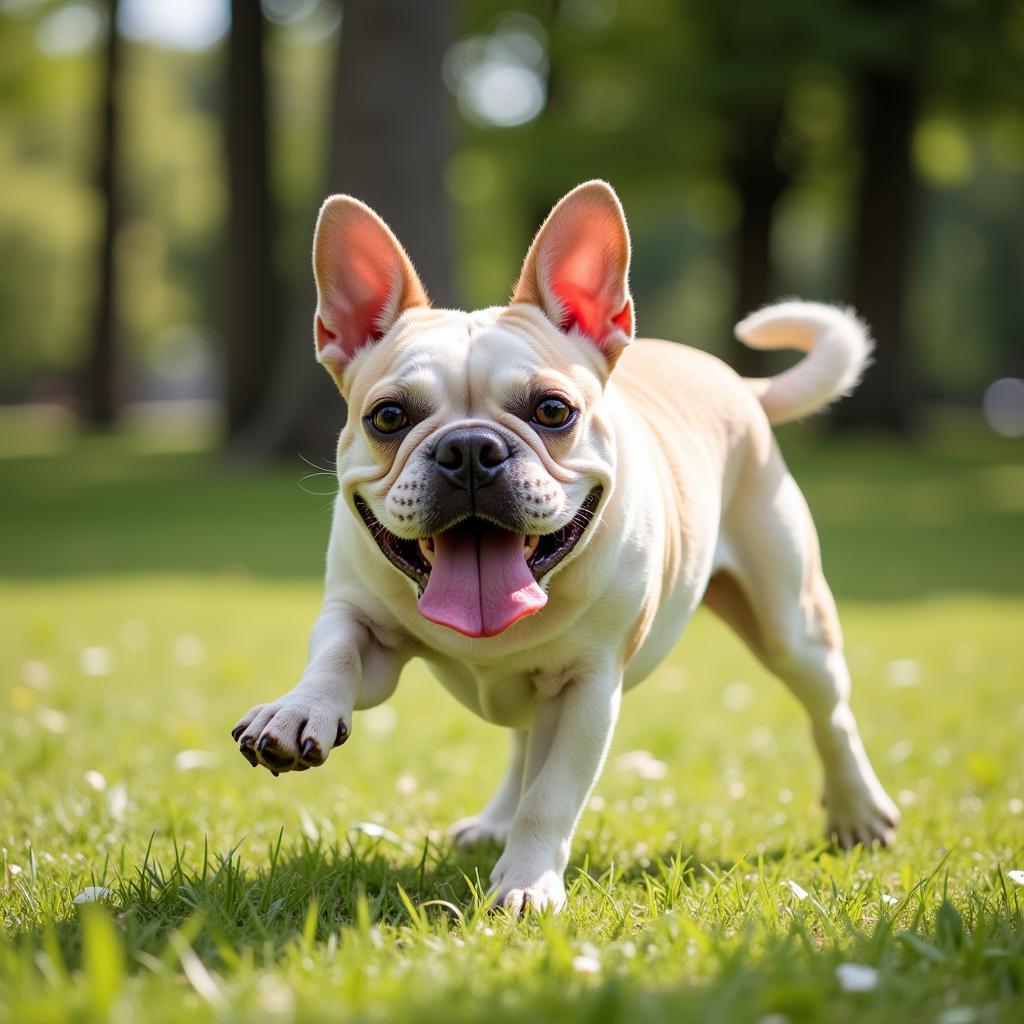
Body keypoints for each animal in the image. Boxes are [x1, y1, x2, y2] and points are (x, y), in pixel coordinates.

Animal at [230, 182, 897, 913]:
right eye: (388, 417)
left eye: (553, 411)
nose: (470, 449)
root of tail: (735, 383)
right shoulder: (360, 622)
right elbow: (336, 657)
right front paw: (299, 709)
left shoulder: (588, 690)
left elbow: (551, 794)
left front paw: (527, 883)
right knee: (523, 741)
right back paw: (494, 819)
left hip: (792, 623)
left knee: (829, 711)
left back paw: (857, 811)